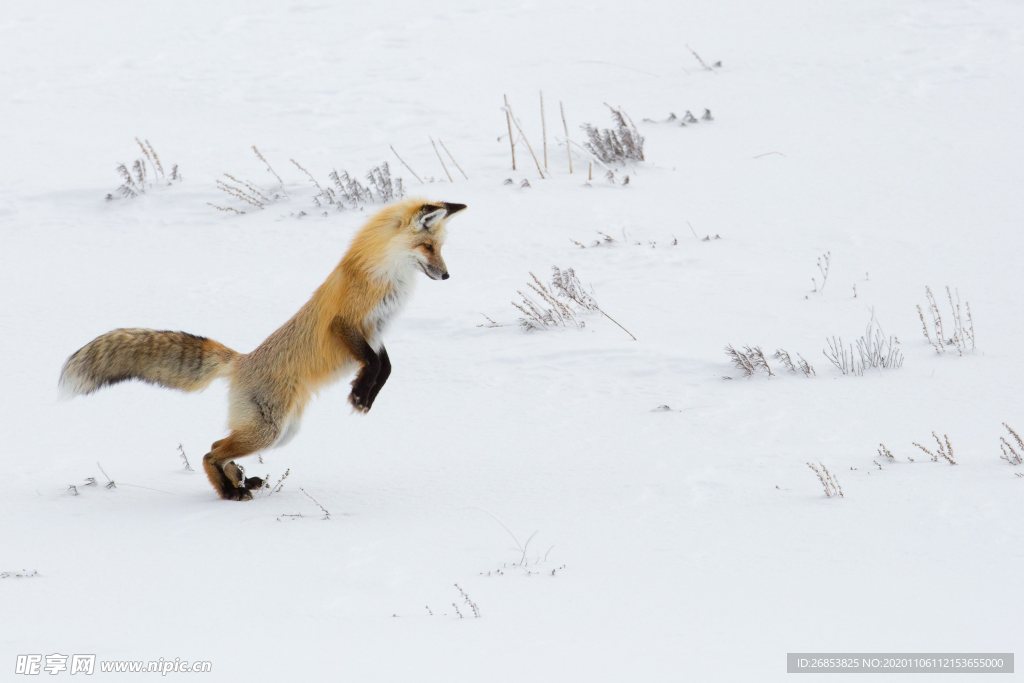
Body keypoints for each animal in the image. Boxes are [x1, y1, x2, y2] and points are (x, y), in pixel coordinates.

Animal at [59, 197, 468, 501]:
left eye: (440, 248)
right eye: (427, 247)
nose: (447, 275)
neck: (385, 276)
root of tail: (241, 361)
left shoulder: (377, 332)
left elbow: (385, 367)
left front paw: (363, 394)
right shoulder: (347, 325)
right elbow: (373, 364)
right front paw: (359, 394)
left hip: (282, 431)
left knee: (216, 444)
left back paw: (240, 480)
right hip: (269, 430)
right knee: (209, 451)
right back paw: (230, 491)